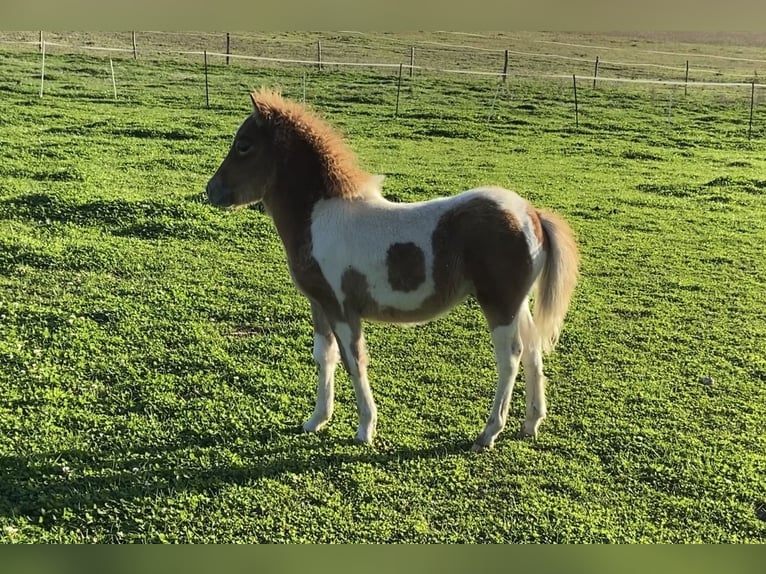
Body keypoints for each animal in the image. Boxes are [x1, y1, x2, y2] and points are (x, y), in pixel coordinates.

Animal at [207, 90, 580, 452]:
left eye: (244, 145)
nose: (211, 190)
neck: (320, 217)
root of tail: (532, 214)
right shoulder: (320, 304)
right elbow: (324, 357)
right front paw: (316, 420)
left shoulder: (343, 308)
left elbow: (354, 359)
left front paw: (364, 429)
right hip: (517, 304)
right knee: (532, 348)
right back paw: (531, 423)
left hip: (499, 304)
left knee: (510, 357)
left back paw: (488, 433)